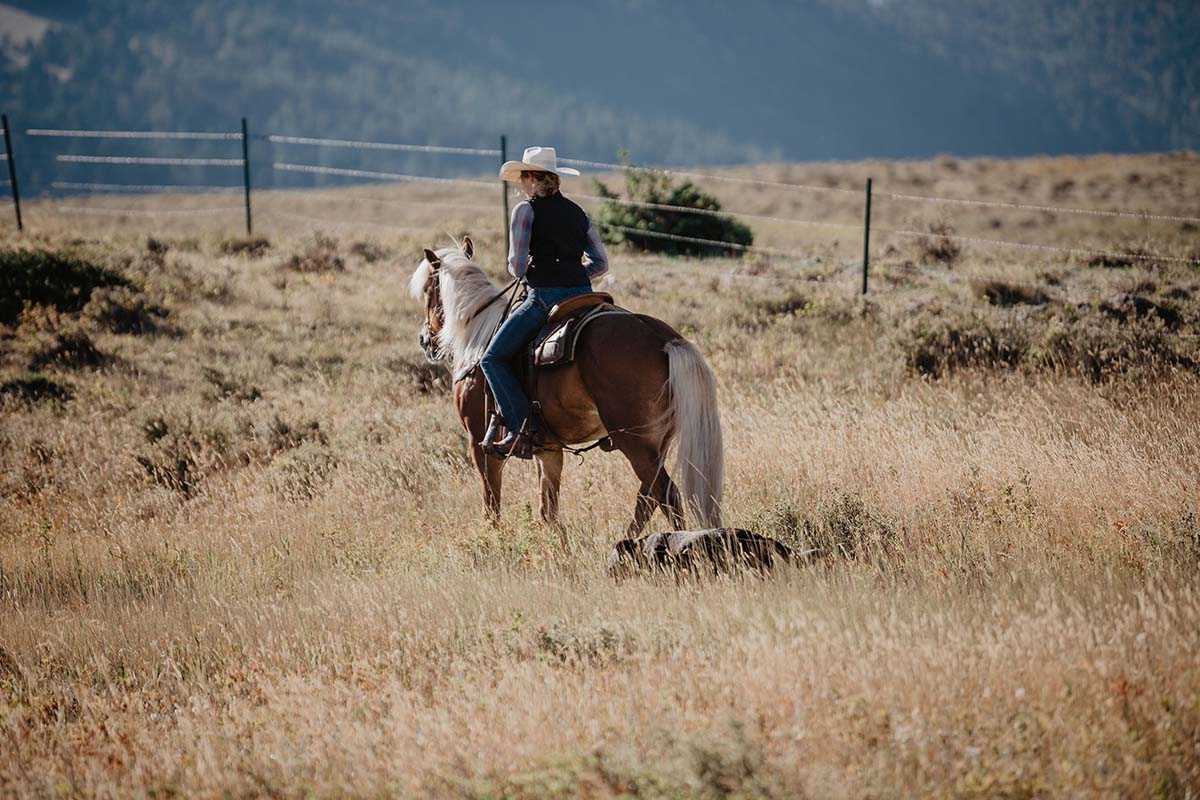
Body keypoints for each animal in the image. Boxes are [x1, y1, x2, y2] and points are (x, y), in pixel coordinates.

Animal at [412, 237, 724, 537]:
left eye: (428, 290)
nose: (425, 339)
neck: (478, 340)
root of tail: (662, 338)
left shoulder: (479, 443)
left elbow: (492, 507)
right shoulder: (548, 449)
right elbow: (548, 511)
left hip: (635, 441)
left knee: (666, 494)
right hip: (658, 443)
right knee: (648, 498)